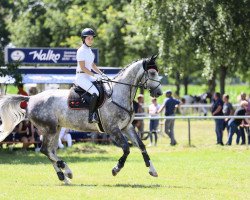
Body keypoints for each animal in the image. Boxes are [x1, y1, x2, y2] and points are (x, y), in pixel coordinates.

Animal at [0, 55, 162, 184]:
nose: (159, 93)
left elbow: (141, 146)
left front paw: (153, 170)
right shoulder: (113, 129)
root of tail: (31, 98)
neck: (118, 94)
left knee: (50, 151)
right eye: (152, 72)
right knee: (45, 150)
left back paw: (64, 177)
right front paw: (116, 169)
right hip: (49, 129)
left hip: (56, 129)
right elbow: (126, 149)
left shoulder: (127, 127)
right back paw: (67, 170)